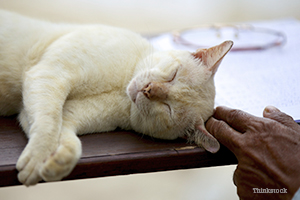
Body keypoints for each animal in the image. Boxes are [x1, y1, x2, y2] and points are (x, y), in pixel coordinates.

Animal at [0, 10, 233, 186]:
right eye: (173, 75)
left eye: (168, 108)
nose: (149, 90)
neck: (122, 87)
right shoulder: (50, 73)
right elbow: (49, 123)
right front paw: (36, 162)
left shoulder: (52, 109)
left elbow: (67, 139)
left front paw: (54, 165)